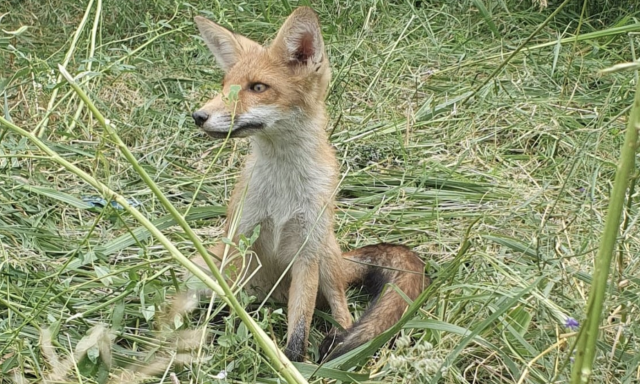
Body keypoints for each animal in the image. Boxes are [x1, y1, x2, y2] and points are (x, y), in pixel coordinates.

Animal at [190, 6, 430, 364]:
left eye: (257, 87)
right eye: (224, 86)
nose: (198, 116)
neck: (283, 192)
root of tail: (272, 299)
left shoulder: (306, 252)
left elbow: (299, 325)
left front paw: (292, 363)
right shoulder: (241, 240)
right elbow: (232, 302)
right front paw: (227, 333)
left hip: (325, 255)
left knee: (341, 309)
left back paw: (340, 341)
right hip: (205, 264)